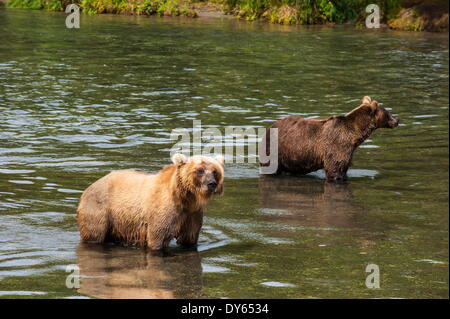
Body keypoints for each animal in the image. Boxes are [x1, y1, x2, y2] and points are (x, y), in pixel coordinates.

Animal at [78, 154, 225, 251]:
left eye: (215, 171)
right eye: (200, 170)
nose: (211, 183)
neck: (184, 198)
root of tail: (89, 187)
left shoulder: (192, 213)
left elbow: (189, 237)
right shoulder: (163, 210)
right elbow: (157, 236)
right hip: (100, 209)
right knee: (95, 234)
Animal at [260, 96, 400, 182]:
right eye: (388, 113)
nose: (398, 119)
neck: (354, 136)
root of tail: (268, 127)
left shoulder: (348, 151)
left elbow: (344, 169)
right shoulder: (337, 146)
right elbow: (335, 170)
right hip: (275, 149)